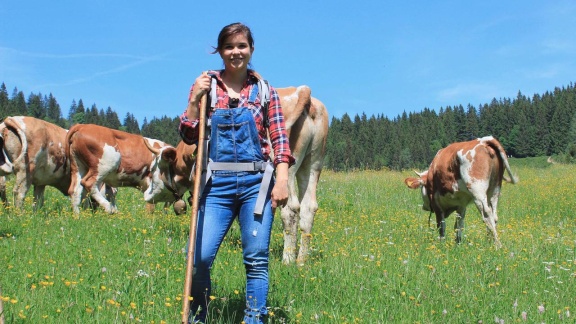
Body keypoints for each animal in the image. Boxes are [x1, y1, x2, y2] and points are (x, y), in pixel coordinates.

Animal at [144, 85, 328, 264]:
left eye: (153, 169)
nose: (146, 195)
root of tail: (301, 90)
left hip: (287, 168)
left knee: (291, 208)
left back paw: (288, 259)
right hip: (312, 164)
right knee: (308, 208)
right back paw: (301, 261)